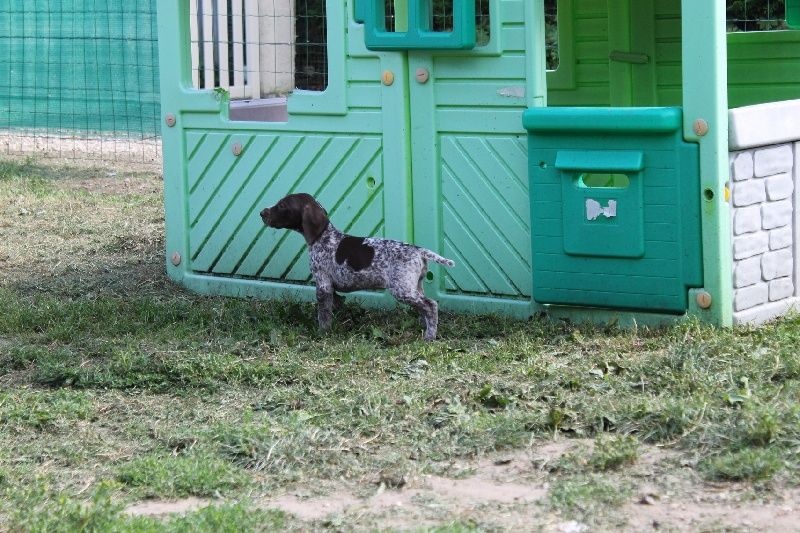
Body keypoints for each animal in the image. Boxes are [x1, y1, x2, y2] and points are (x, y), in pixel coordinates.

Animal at [260, 193, 454, 340]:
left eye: (282, 205)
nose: (262, 212)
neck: (324, 237)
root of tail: (419, 251)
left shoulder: (323, 284)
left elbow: (323, 314)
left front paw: (322, 332)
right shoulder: (331, 288)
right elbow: (335, 305)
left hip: (402, 289)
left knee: (431, 305)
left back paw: (429, 336)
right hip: (414, 287)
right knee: (424, 307)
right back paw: (425, 326)